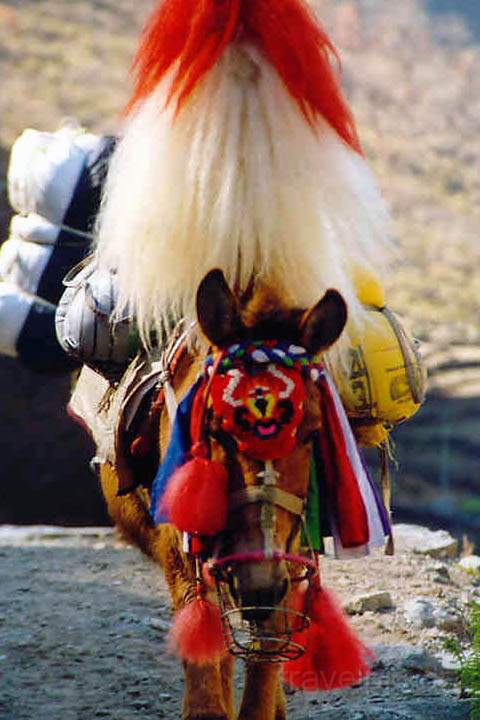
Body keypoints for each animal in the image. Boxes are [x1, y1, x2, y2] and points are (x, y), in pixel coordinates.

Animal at [94, 0, 394, 716]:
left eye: (311, 431)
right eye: (215, 431)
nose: (257, 581)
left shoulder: (296, 559)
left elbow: (265, 673)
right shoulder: (190, 556)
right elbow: (209, 677)